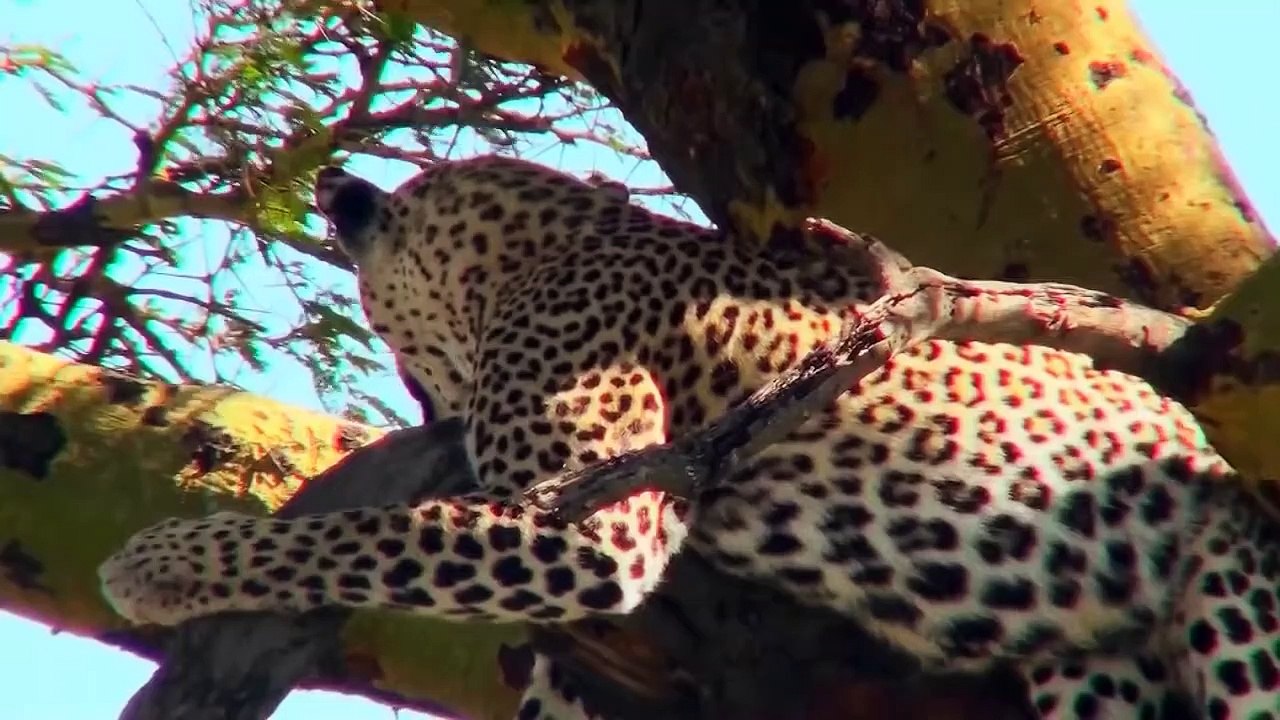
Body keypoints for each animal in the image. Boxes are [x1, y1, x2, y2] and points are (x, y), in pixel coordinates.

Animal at [99, 154, 1280, 720]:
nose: (426, 415)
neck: (543, 244)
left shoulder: (592, 527)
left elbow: (362, 537)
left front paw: (162, 562)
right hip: (1093, 668)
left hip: (1237, 585)